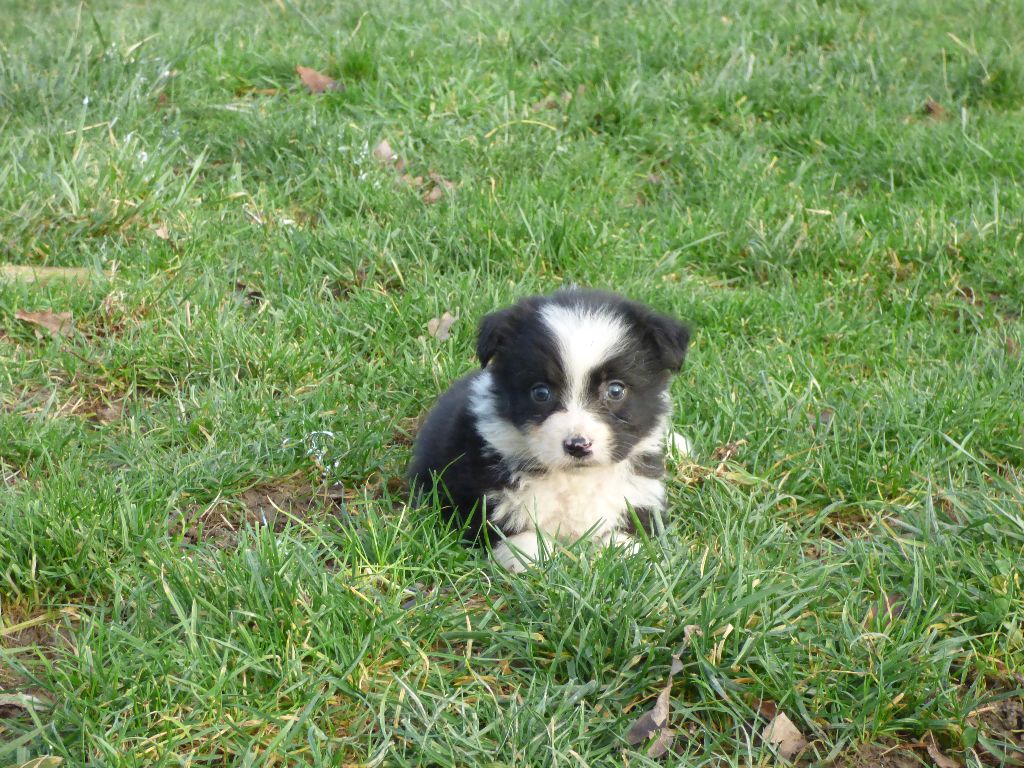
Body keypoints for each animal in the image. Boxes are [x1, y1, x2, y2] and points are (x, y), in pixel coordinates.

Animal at [409, 288, 690, 572]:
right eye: (541, 392)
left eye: (615, 390)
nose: (577, 446)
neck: (575, 479)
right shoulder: (487, 494)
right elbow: (516, 535)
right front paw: (531, 558)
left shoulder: (638, 490)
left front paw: (623, 553)